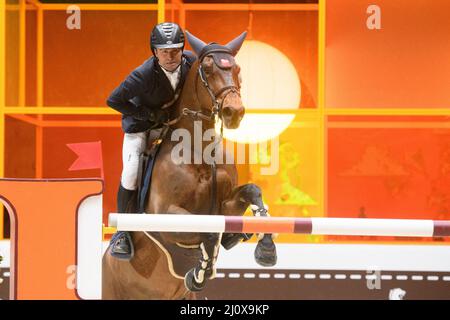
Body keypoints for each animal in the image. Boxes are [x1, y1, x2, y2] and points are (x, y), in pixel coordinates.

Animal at [103, 31, 278, 298]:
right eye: (207, 69)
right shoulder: (167, 214)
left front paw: (266, 248)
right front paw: (200, 271)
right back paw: (121, 242)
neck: (200, 151)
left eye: (237, 68)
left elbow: (252, 192)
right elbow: (207, 231)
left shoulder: (224, 206)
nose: (234, 112)